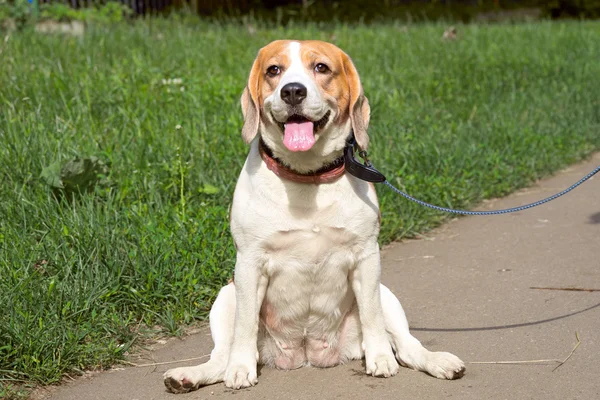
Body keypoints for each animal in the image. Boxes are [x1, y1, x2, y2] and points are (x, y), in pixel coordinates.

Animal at [162, 39, 466, 390]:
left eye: (321, 67)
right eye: (273, 70)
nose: (293, 91)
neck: (307, 177)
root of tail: (307, 353)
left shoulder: (367, 257)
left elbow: (372, 316)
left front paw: (380, 359)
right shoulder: (249, 263)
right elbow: (245, 325)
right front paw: (240, 369)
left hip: (386, 294)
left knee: (406, 344)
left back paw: (437, 361)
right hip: (227, 295)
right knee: (221, 356)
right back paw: (190, 376)